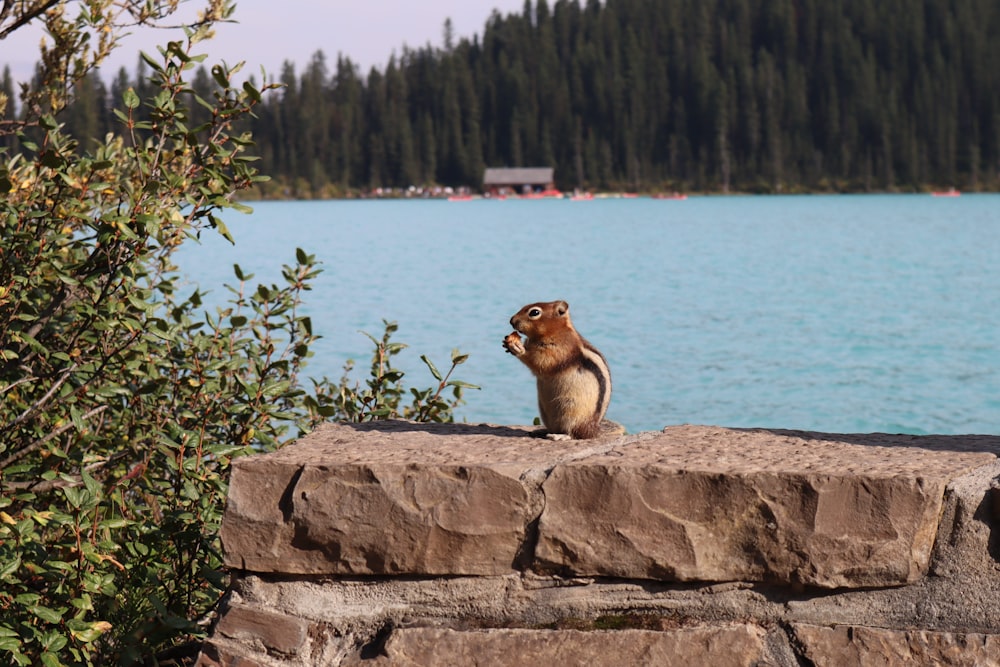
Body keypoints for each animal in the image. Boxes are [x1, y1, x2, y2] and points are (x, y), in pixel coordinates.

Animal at [504, 302, 620, 438]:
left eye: (534, 312)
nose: (511, 320)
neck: (557, 331)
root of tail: (591, 431)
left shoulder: (560, 350)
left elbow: (540, 362)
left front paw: (517, 347)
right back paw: (542, 431)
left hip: (570, 411)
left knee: (573, 432)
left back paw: (560, 436)